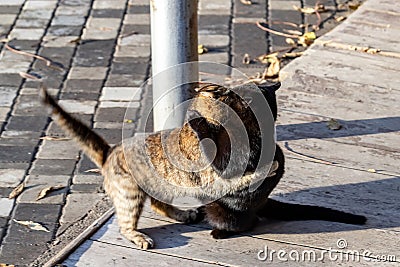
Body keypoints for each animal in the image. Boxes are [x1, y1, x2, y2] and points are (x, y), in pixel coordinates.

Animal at [39, 82, 366, 250]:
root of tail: (109, 152)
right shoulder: (220, 173)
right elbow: (243, 172)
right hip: (131, 195)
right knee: (126, 224)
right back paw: (142, 235)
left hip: (161, 189)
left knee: (161, 205)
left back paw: (187, 215)